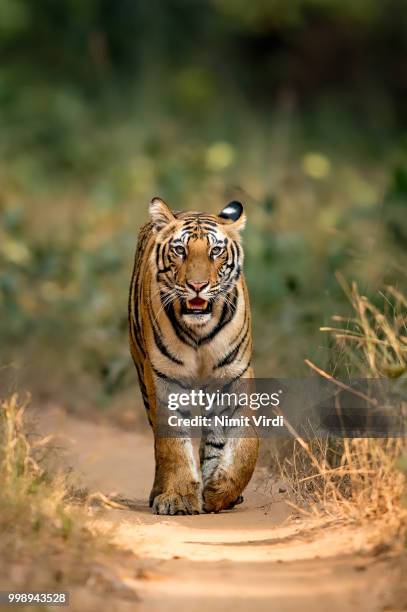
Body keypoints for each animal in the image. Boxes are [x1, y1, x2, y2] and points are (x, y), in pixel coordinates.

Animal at [129, 198, 260, 512]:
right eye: (180, 250)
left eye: (215, 251)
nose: (197, 286)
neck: (200, 331)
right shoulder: (165, 377)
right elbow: (172, 443)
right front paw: (178, 497)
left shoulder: (234, 375)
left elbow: (246, 445)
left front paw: (220, 490)